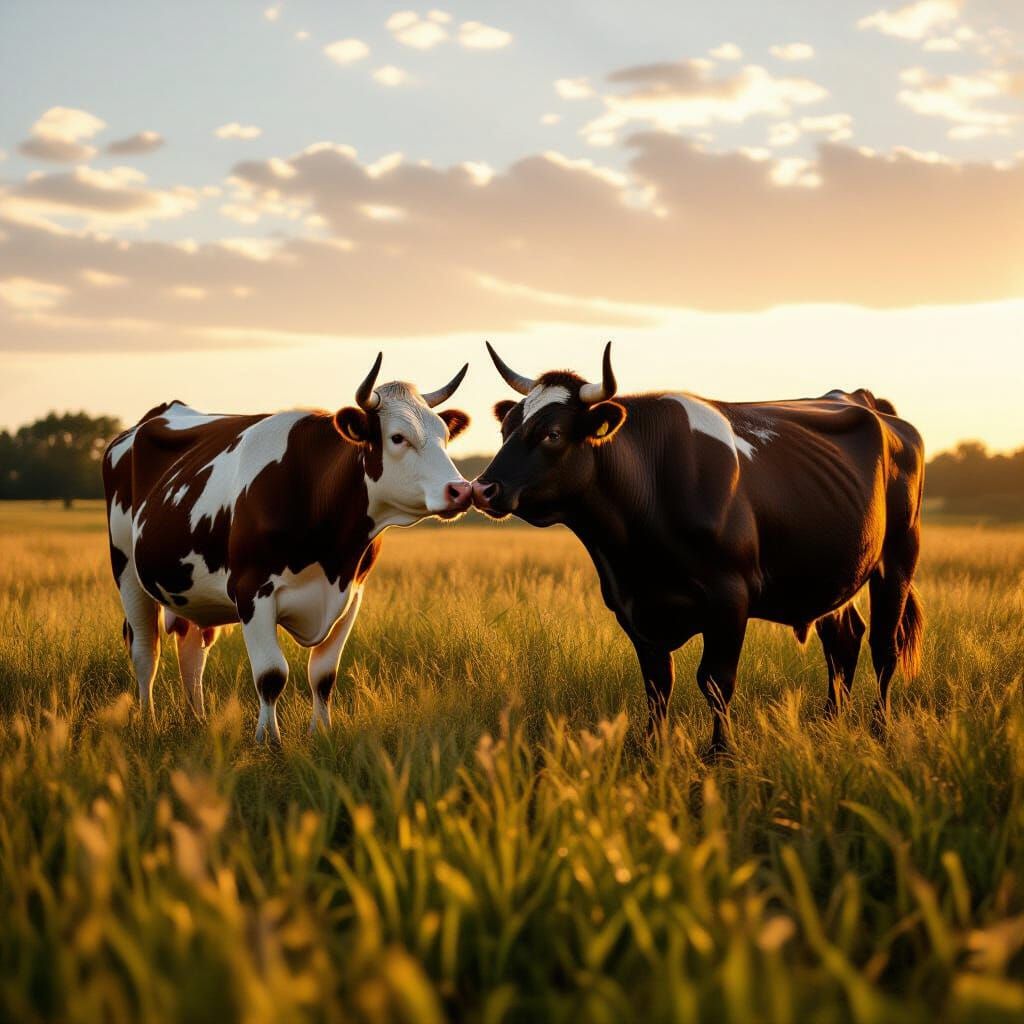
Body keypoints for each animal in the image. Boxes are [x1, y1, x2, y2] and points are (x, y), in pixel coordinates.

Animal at [102, 354, 472, 743]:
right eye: (398, 437)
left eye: (445, 436)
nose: (460, 489)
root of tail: (161, 411)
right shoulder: (252, 592)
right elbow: (271, 675)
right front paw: (269, 740)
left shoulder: (352, 594)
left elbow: (323, 676)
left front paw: (321, 732)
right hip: (127, 572)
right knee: (145, 651)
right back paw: (148, 720)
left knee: (191, 652)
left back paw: (197, 720)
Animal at [472, 343, 925, 754]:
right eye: (505, 429)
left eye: (552, 434)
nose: (483, 488)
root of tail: (862, 399)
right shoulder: (631, 606)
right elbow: (657, 684)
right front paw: (654, 751)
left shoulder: (730, 599)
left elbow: (716, 682)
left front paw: (721, 754)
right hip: (833, 574)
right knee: (843, 642)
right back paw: (830, 725)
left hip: (898, 558)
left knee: (884, 647)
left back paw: (879, 730)